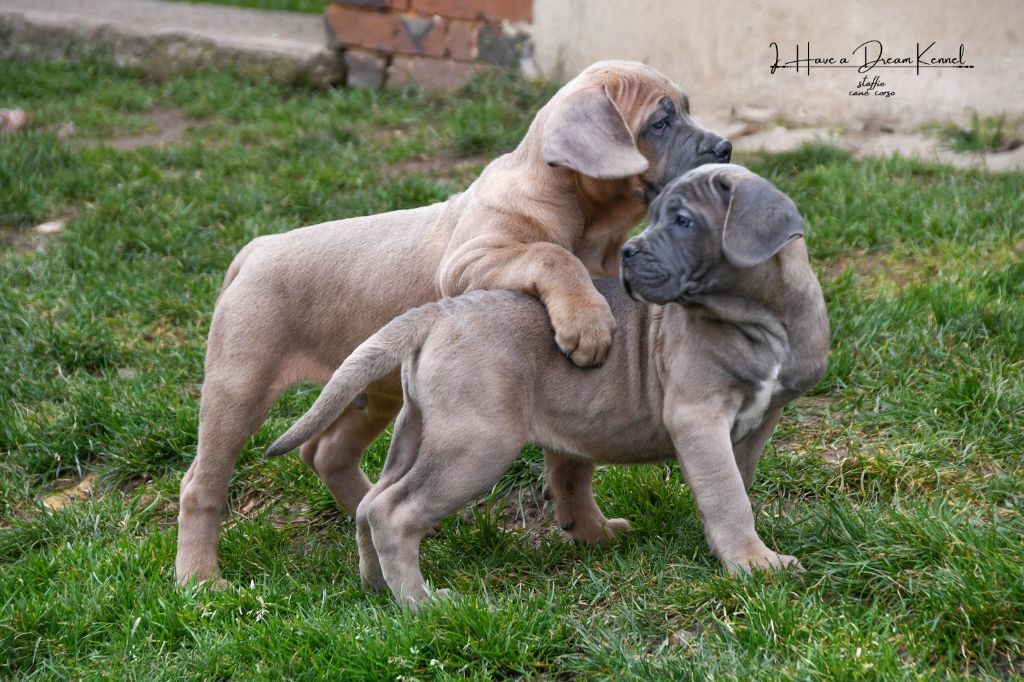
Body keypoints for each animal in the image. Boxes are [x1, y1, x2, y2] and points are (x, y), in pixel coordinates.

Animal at [268, 164, 827, 606]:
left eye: (685, 221)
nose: (627, 253)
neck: (759, 319)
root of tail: (437, 312)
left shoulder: (760, 420)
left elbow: (737, 482)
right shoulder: (698, 417)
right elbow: (727, 494)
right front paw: (754, 565)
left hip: (421, 430)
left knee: (370, 503)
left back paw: (376, 586)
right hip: (477, 443)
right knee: (393, 511)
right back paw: (421, 604)